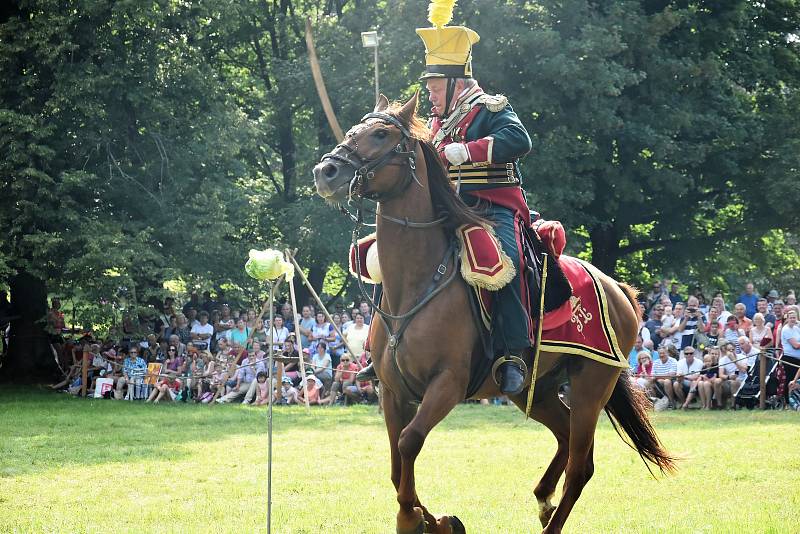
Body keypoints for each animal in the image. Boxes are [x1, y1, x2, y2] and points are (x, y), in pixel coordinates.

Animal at [312, 94, 676, 532]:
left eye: (381, 134)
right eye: (354, 129)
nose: (326, 172)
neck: (417, 284)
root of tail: (618, 289)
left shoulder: (447, 385)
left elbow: (409, 443)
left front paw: (416, 519)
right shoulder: (393, 393)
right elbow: (398, 466)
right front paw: (435, 519)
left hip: (592, 383)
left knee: (581, 465)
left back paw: (551, 519)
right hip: (535, 389)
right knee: (565, 436)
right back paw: (542, 498)